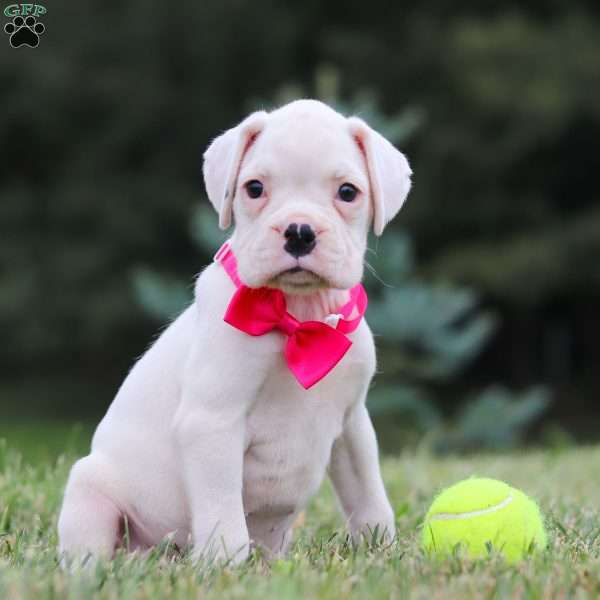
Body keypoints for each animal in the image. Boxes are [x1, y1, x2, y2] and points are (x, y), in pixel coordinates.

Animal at [57, 98, 412, 564]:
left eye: (348, 192)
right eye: (254, 188)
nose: (300, 231)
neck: (297, 314)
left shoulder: (353, 425)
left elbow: (368, 494)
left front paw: (382, 548)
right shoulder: (213, 422)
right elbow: (222, 506)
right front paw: (224, 563)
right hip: (90, 489)